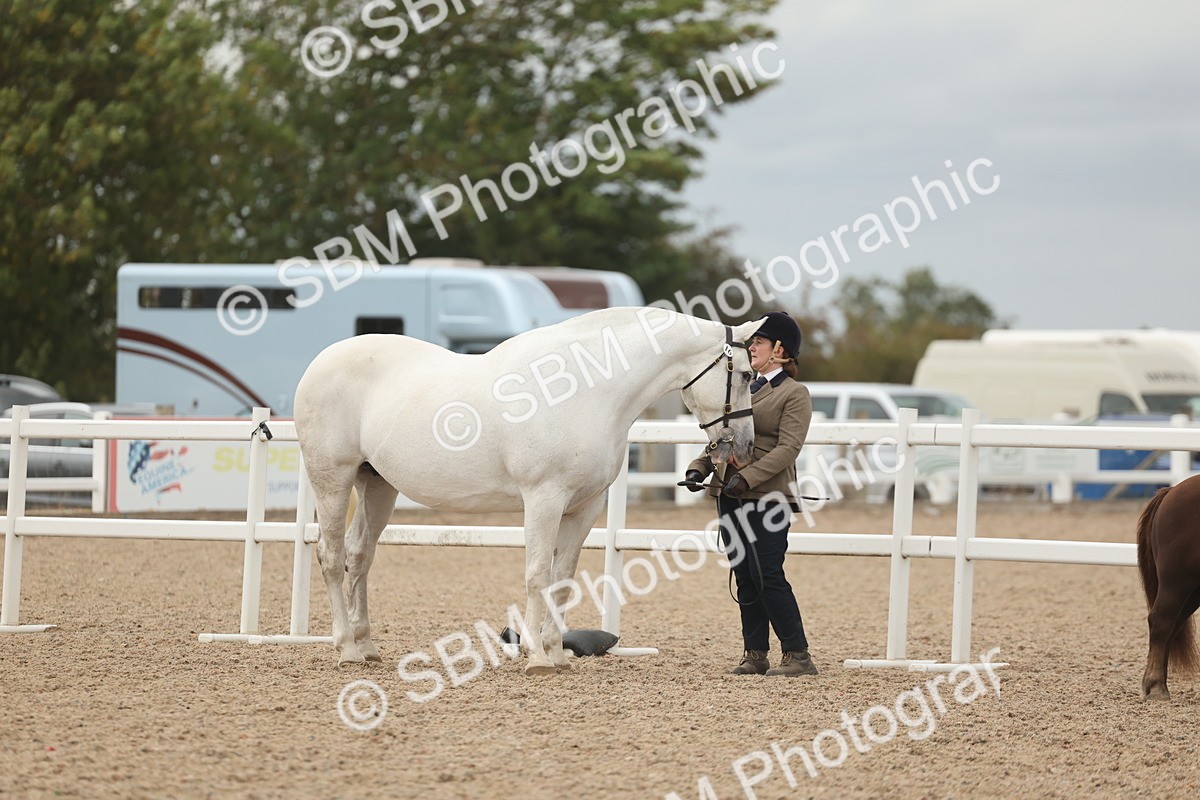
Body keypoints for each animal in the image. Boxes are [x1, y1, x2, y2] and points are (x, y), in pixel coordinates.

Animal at [293, 307, 765, 674]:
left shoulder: (585, 506)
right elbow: (537, 574)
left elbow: (563, 579)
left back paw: (367, 646)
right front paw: (537, 656)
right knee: (332, 556)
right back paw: (345, 648)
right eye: (744, 375)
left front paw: (557, 654)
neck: (587, 390)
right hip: (332, 479)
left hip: (376, 484)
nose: (743, 447)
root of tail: (318, 363)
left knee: (360, 555)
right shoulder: (543, 498)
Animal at [1137, 473, 1200, 699]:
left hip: (1193, 589)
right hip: (1177, 581)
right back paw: (1156, 686)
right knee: (1161, 622)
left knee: (1172, 626)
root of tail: (1171, 491)